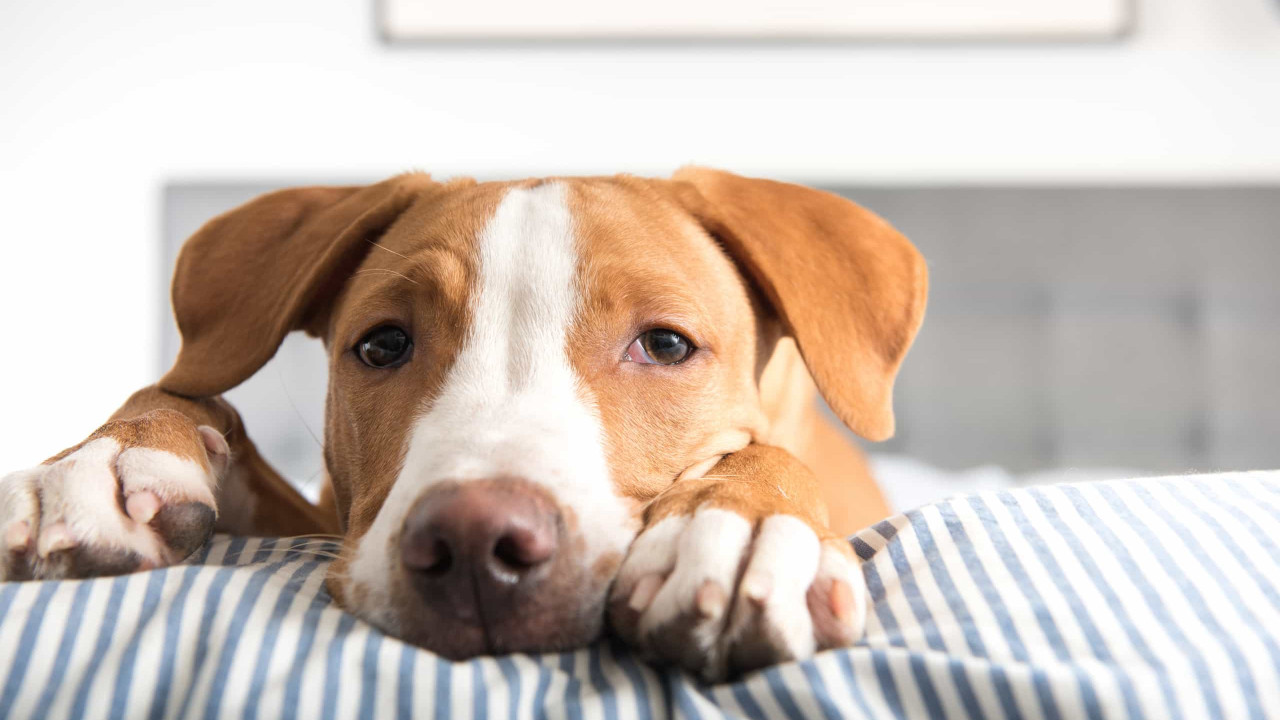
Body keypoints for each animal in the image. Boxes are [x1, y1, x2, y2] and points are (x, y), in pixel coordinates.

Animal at [0, 167, 926, 676]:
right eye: (382, 344)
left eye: (666, 344)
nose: (478, 543)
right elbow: (188, 388)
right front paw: (99, 464)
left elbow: (764, 458)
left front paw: (739, 529)